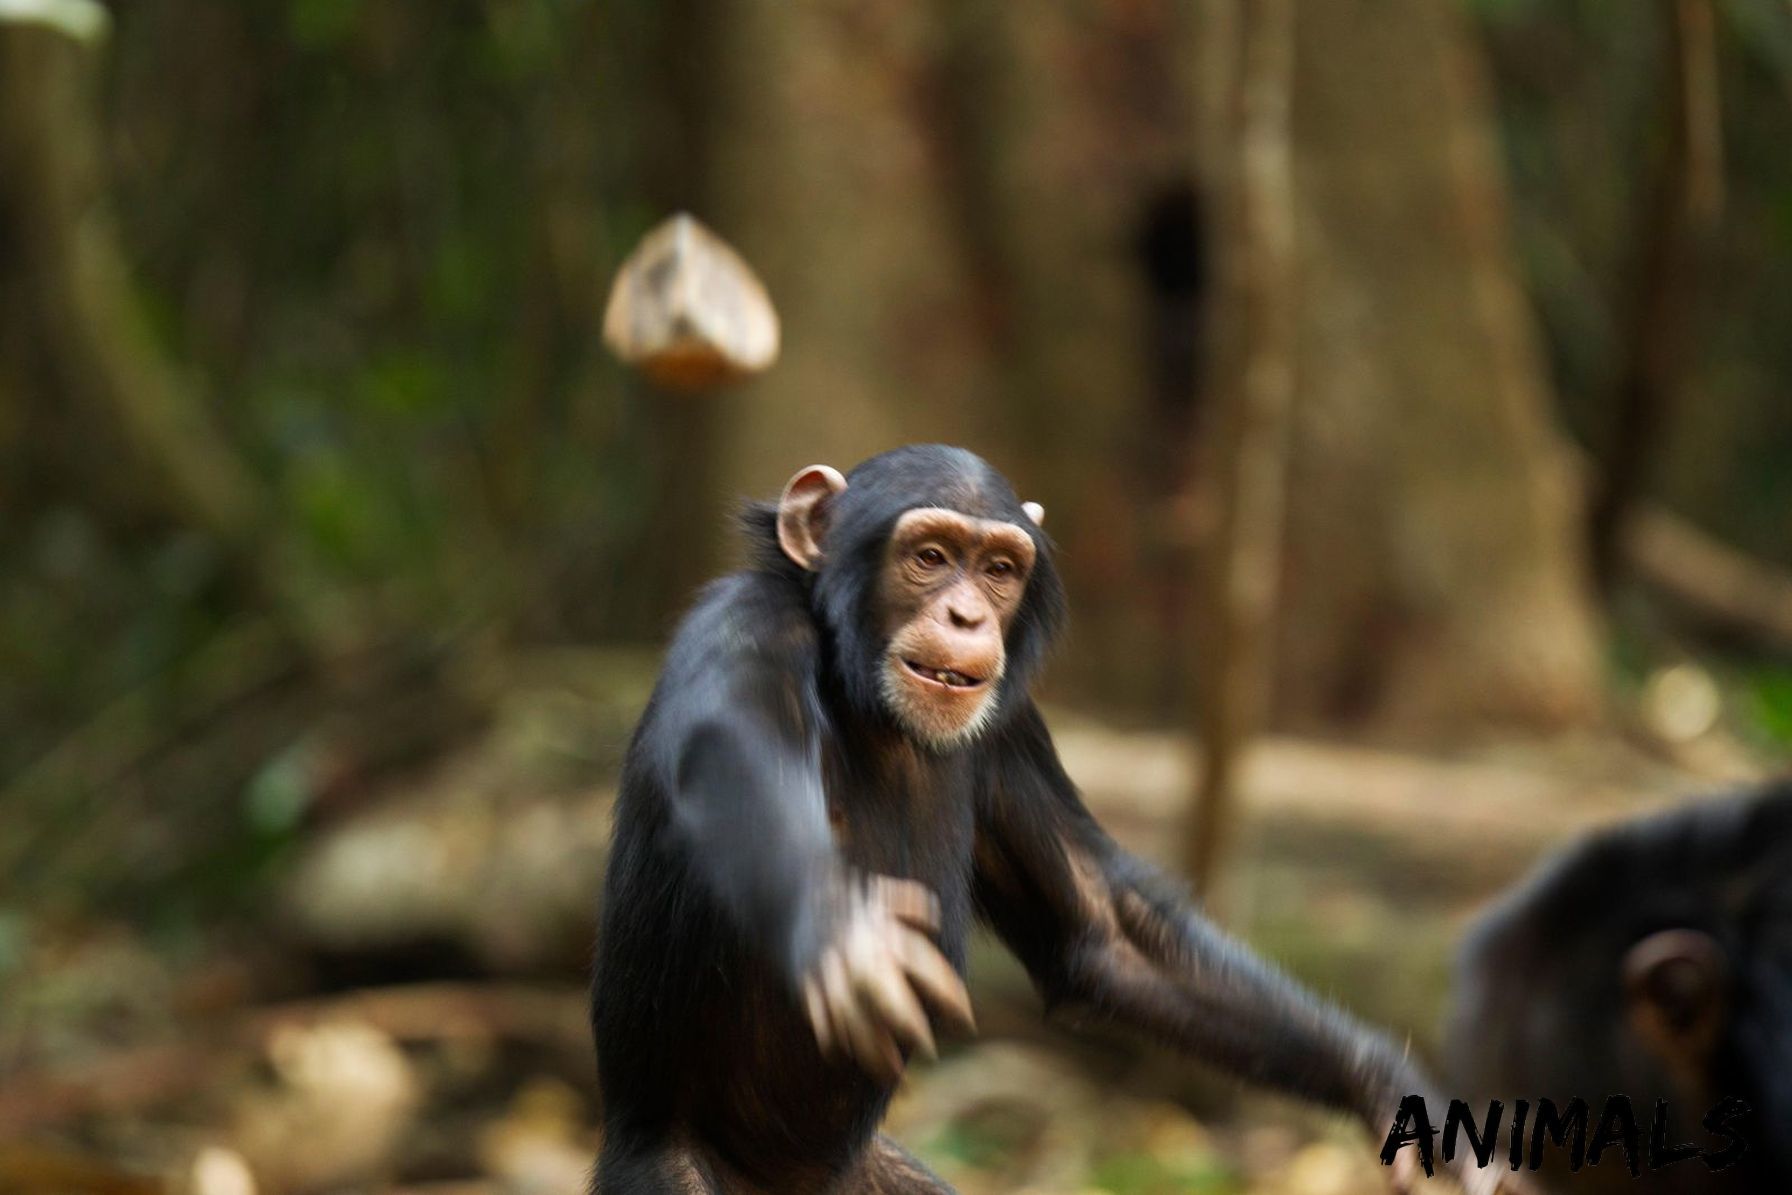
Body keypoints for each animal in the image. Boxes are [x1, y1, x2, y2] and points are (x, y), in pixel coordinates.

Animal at [587, 444, 1498, 1189]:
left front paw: (1388, 1086)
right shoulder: (745, 633)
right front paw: (843, 929)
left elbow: (1099, 927)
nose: (966, 615)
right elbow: (733, 763)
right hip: (669, 1170)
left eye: (998, 568)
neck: (869, 700)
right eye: (928, 556)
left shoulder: (1011, 729)